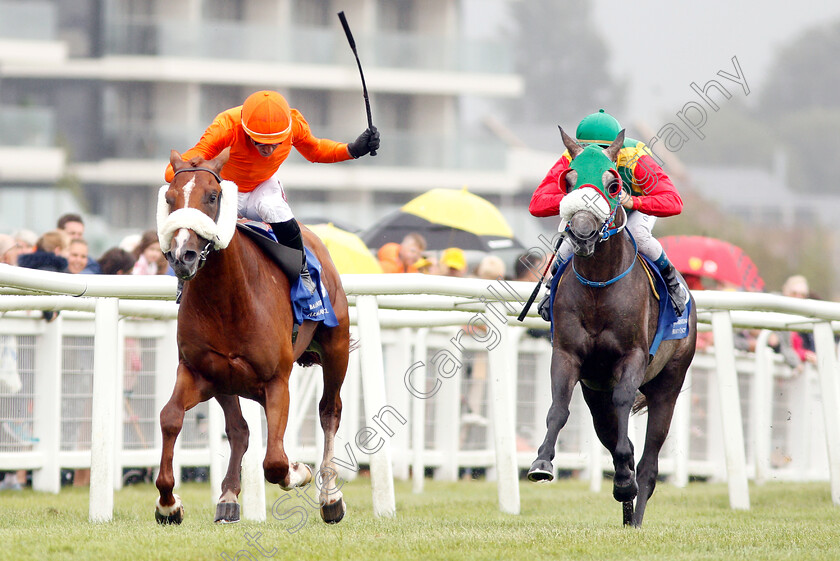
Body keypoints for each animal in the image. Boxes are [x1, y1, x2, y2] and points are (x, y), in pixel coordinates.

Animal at [154, 147, 348, 524]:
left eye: (212, 197)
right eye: (170, 198)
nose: (183, 256)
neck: (228, 300)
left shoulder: (276, 381)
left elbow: (275, 461)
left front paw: (300, 471)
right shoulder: (198, 371)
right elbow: (170, 417)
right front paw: (168, 503)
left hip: (337, 347)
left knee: (330, 410)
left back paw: (330, 496)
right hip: (226, 382)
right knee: (239, 429)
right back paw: (228, 497)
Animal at [528, 128, 700, 524]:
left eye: (612, 184)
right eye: (568, 180)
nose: (582, 233)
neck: (599, 286)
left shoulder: (633, 355)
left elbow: (625, 403)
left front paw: (624, 481)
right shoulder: (568, 355)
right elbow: (558, 408)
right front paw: (542, 462)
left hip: (669, 384)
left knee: (649, 462)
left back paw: (634, 513)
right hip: (595, 393)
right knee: (614, 434)